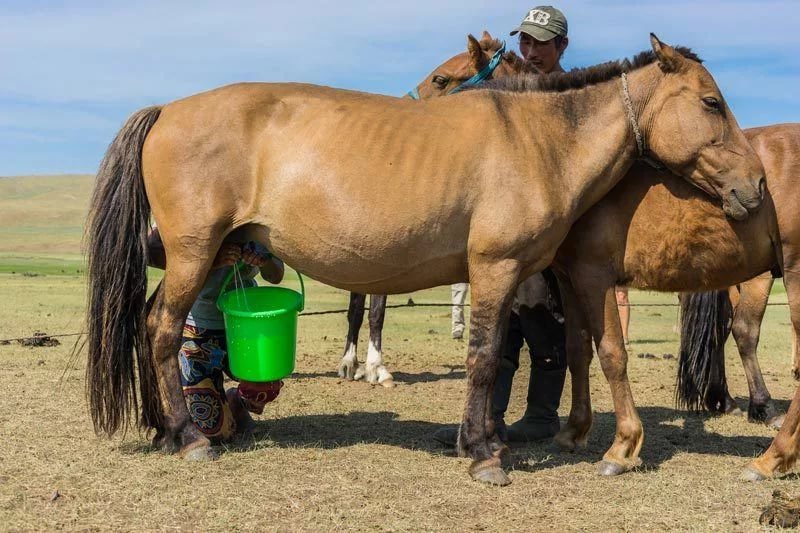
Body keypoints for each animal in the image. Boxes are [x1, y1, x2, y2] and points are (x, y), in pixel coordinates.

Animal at [86, 36, 764, 486]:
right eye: (711, 103)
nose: (756, 185)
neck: (540, 139)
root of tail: (168, 110)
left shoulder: (513, 279)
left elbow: (509, 355)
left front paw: (482, 439)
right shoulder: (494, 267)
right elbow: (485, 357)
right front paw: (485, 455)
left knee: (154, 326)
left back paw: (166, 426)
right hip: (194, 254)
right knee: (162, 329)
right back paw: (188, 436)